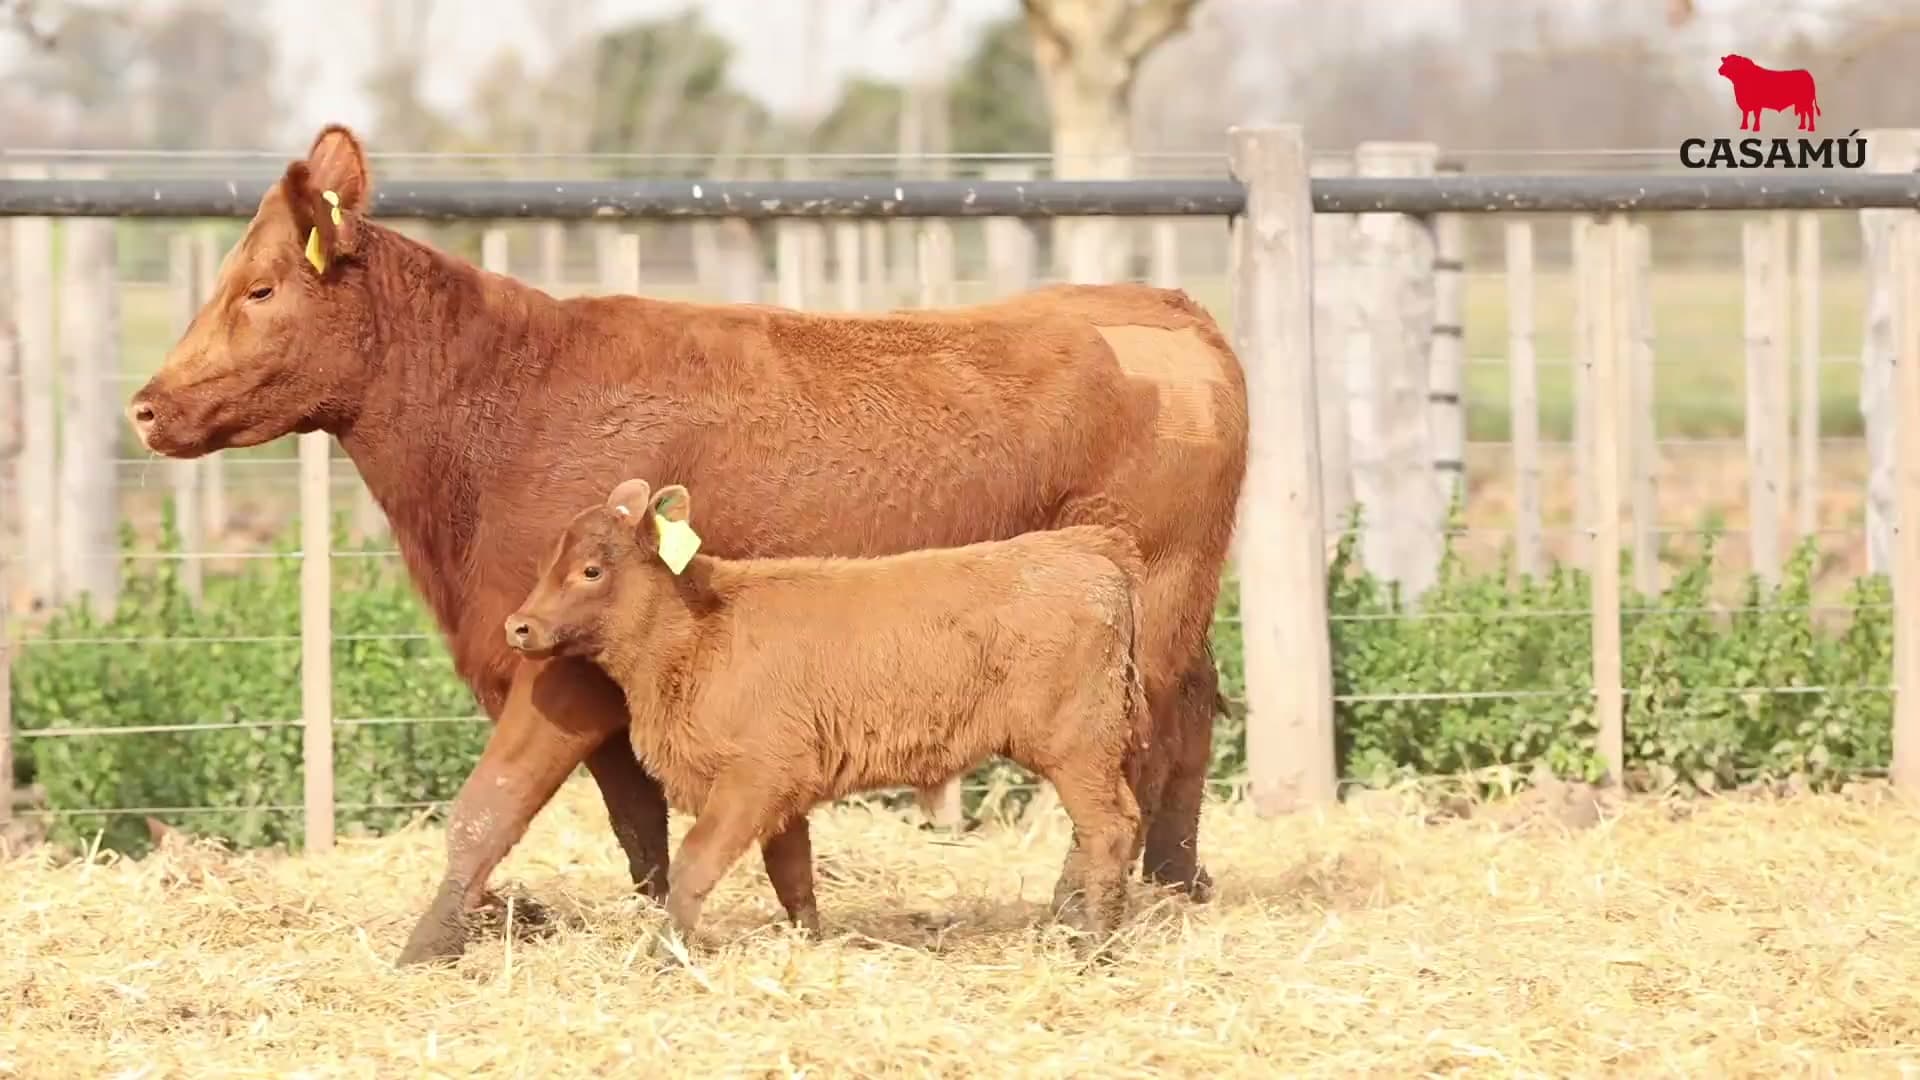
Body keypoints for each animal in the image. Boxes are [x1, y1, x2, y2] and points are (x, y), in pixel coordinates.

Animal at [505, 479, 1153, 953]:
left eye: (591, 569)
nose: (519, 626)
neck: (699, 634)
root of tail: (1087, 547)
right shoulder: (785, 789)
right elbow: (792, 873)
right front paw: (809, 942)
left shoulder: (754, 778)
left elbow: (694, 864)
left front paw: (667, 952)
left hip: (1078, 745)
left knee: (1109, 827)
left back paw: (1093, 942)